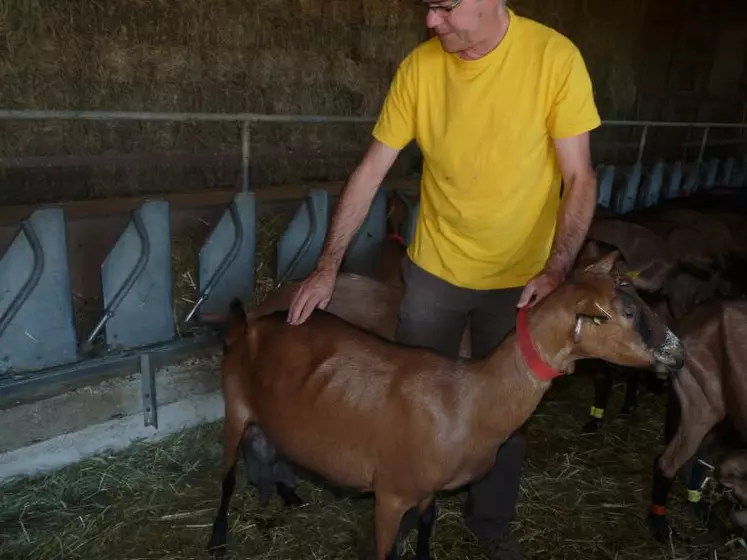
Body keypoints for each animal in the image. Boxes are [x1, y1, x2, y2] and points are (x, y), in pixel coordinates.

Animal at [207, 252, 688, 556]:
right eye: (628, 314)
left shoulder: (427, 493)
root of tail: (248, 325)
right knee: (227, 476)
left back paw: (285, 493)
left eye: (641, 299)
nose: (679, 353)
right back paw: (217, 539)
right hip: (234, 406)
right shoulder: (391, 495)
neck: (470, 397)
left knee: (265, 445)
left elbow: (425, 532)